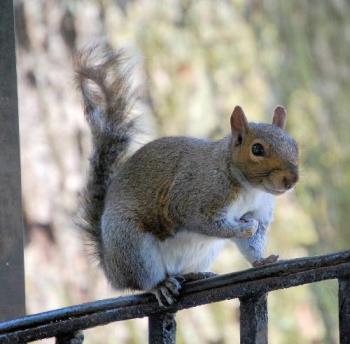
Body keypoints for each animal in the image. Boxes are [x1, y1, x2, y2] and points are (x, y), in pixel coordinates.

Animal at [76, 45, 298, 306]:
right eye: (257, 149)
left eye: (294, 145)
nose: (291, 180)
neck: (249, 188)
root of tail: (110, 268)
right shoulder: (194, 198)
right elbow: (208, 224)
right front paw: (243, 229)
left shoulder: (260, 208)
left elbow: (253, 242)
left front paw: (262, 260)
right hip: (133, 247)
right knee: (143, 281)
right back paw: (160, 285)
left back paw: (194, 274)